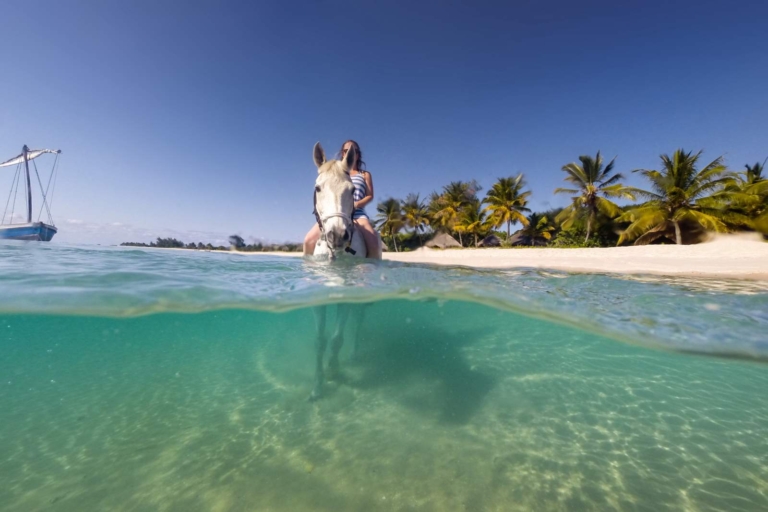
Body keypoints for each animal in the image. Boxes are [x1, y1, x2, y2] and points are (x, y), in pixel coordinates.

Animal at [309, 142, 382, 400]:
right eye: (318, 188)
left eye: (351, 190)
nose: (338, 235)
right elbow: (320, 340)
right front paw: (317, 386)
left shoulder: (346, 297)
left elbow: (336, 338)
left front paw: (333, 370)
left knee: (357, 324)